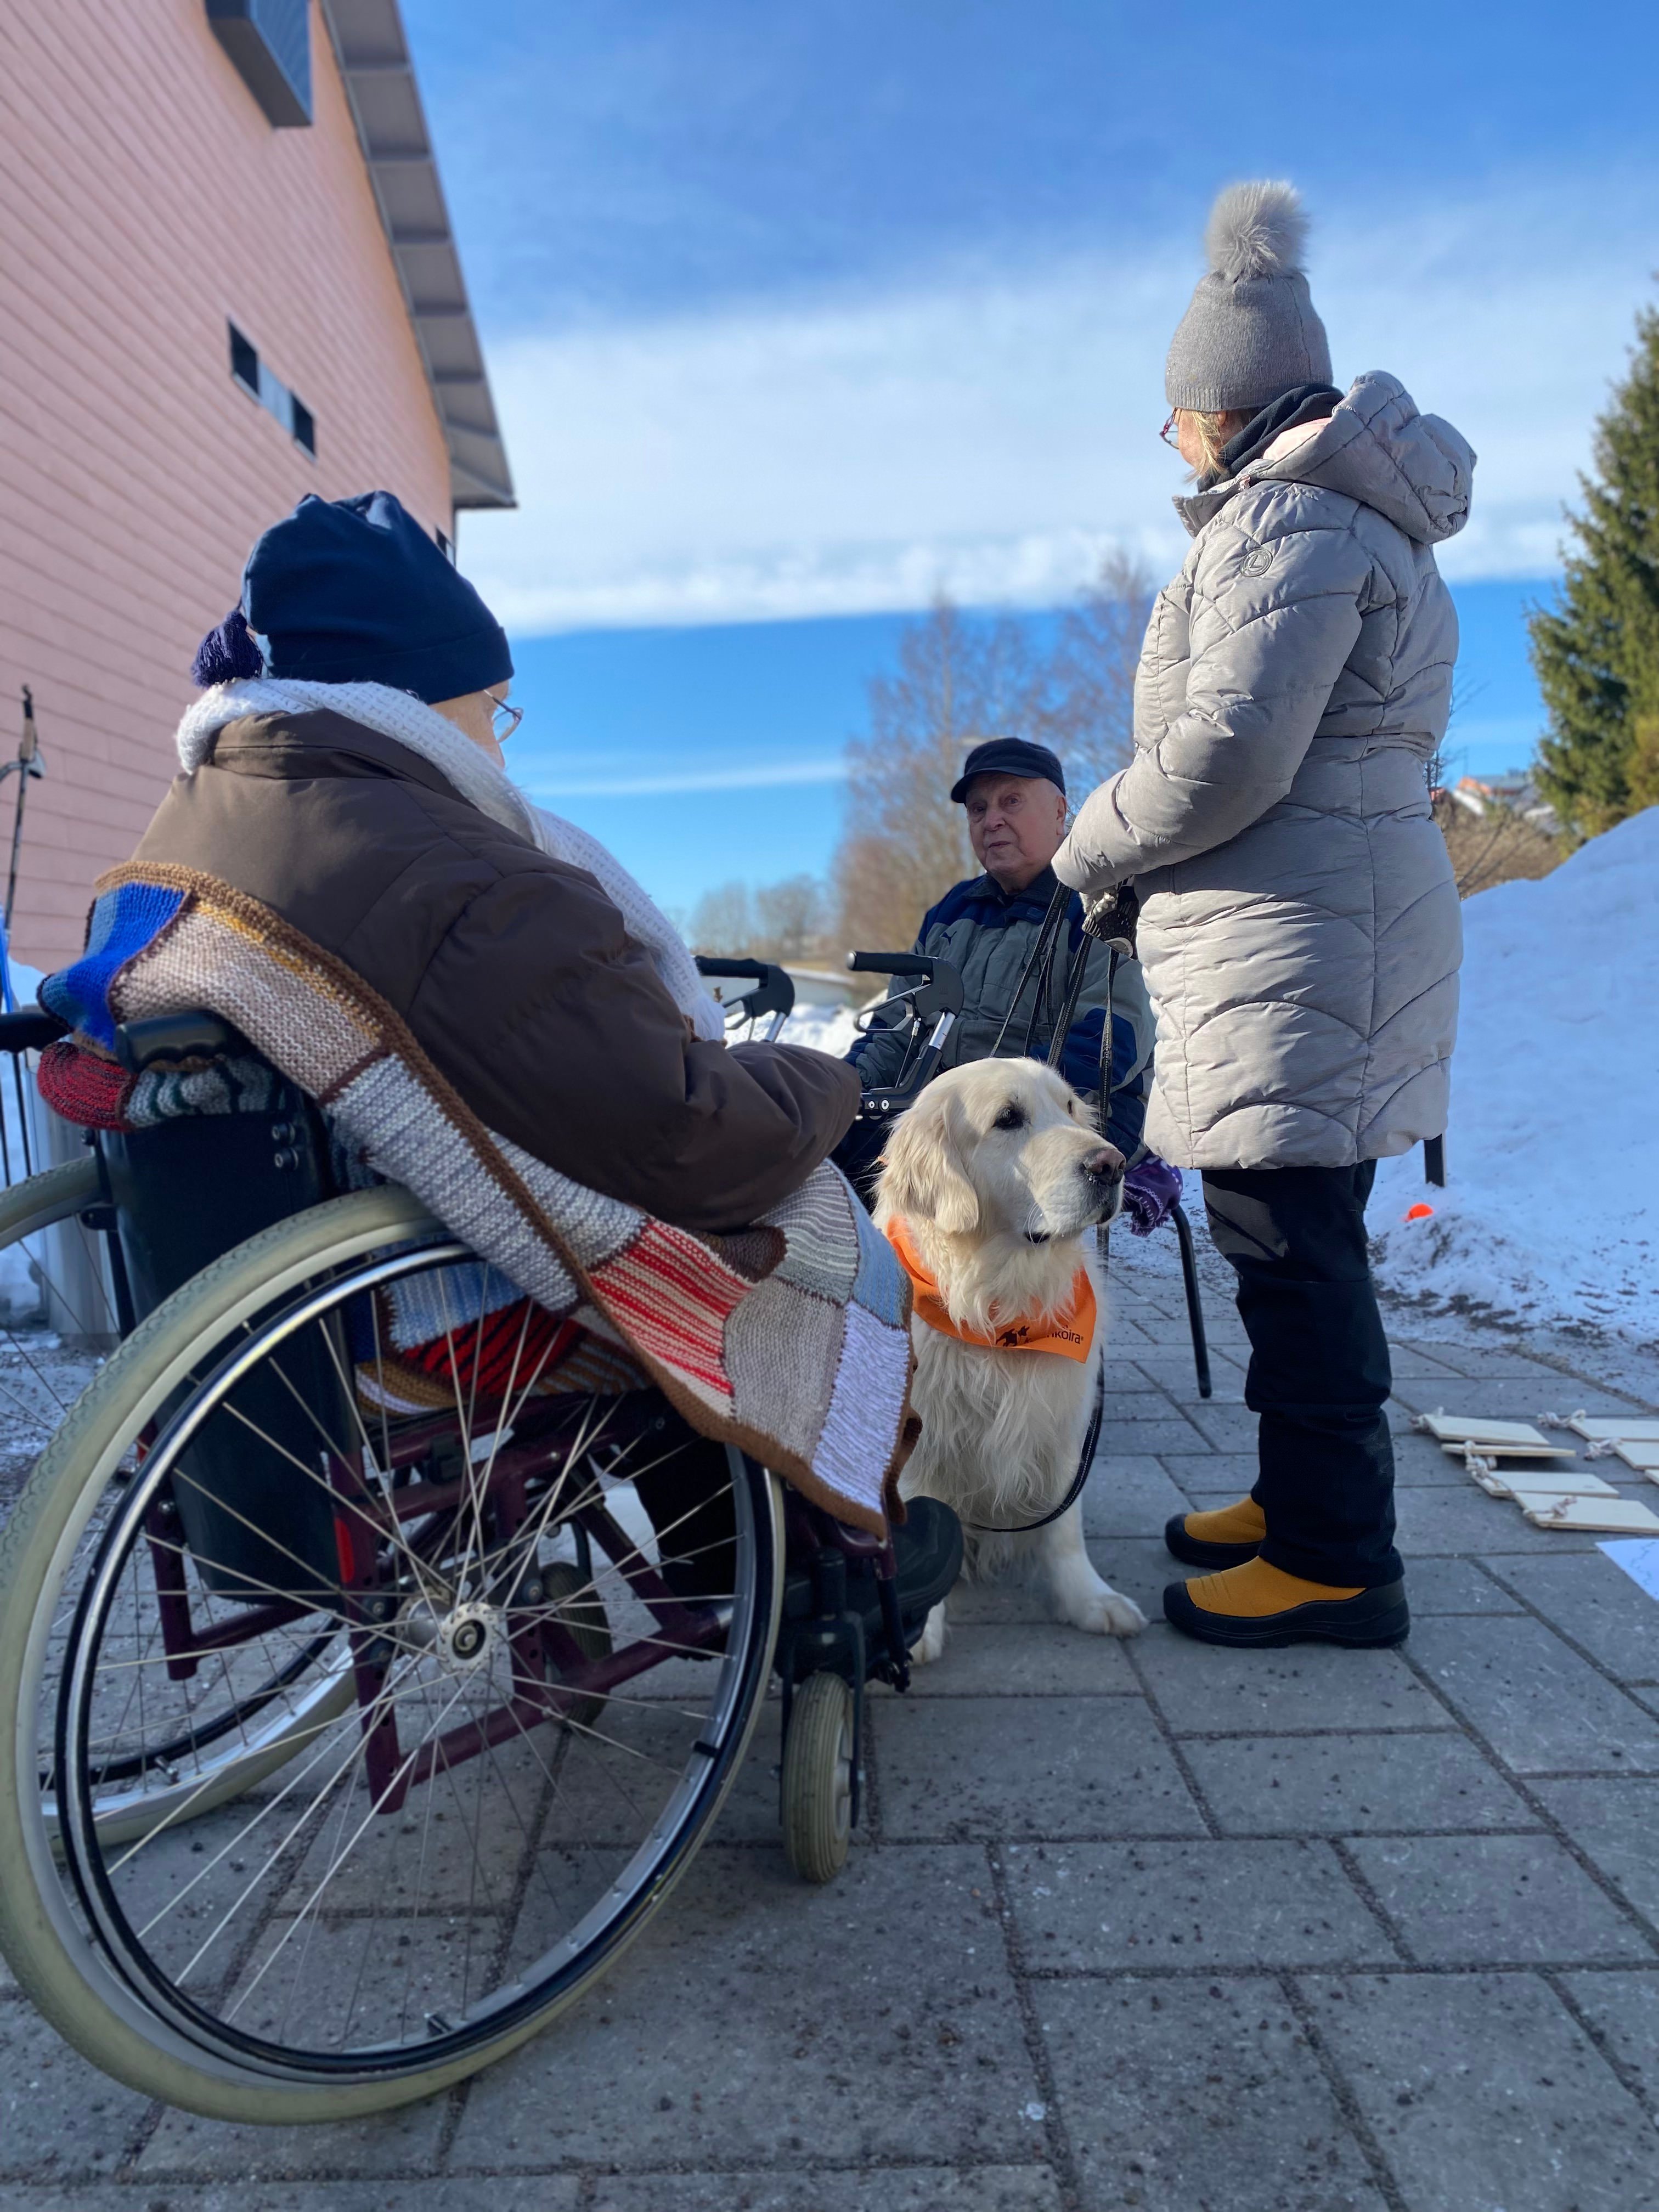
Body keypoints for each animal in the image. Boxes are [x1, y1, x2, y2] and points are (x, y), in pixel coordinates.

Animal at [876, 1053, 1150, 1663]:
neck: (998, 1310)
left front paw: (1089, 1599)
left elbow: (1066, 1530)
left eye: (1070, 1107)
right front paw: (921, 1626)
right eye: (1008, 1118)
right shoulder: (918, 1436)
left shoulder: (1064, 1429)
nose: (1113, 1165)